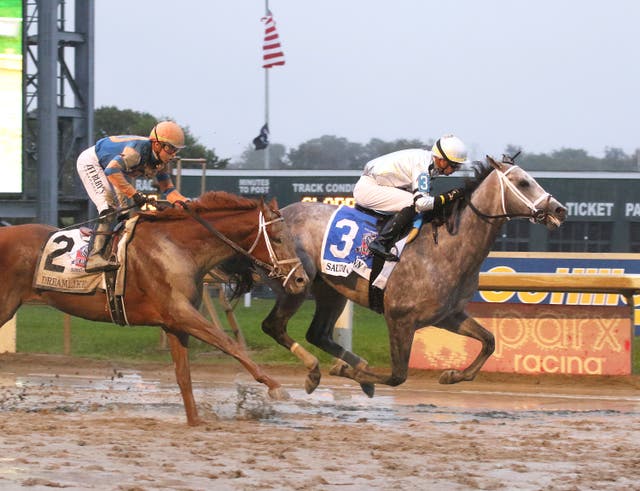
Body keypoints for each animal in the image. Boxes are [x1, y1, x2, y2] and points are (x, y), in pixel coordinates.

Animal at [0, 192, 308, 426]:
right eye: (278, 238)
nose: (301, 280)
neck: (177, 247)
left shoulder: (174, 323)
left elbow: (184, 375)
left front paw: (195, 420)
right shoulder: (180, 313)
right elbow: (229, 343)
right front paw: (277, 386)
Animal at [260, 156, 564, 398]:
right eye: (523, 183)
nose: (559, 209)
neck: (444, 249)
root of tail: (276, 215)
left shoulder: (447, 315)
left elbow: (489, 341)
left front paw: (452, 375)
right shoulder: (399, 318)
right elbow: (397, 376)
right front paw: (347, 372)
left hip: (331, 289)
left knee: (318, 333)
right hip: (296, 283)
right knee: (273, 326)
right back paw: (315, 372)